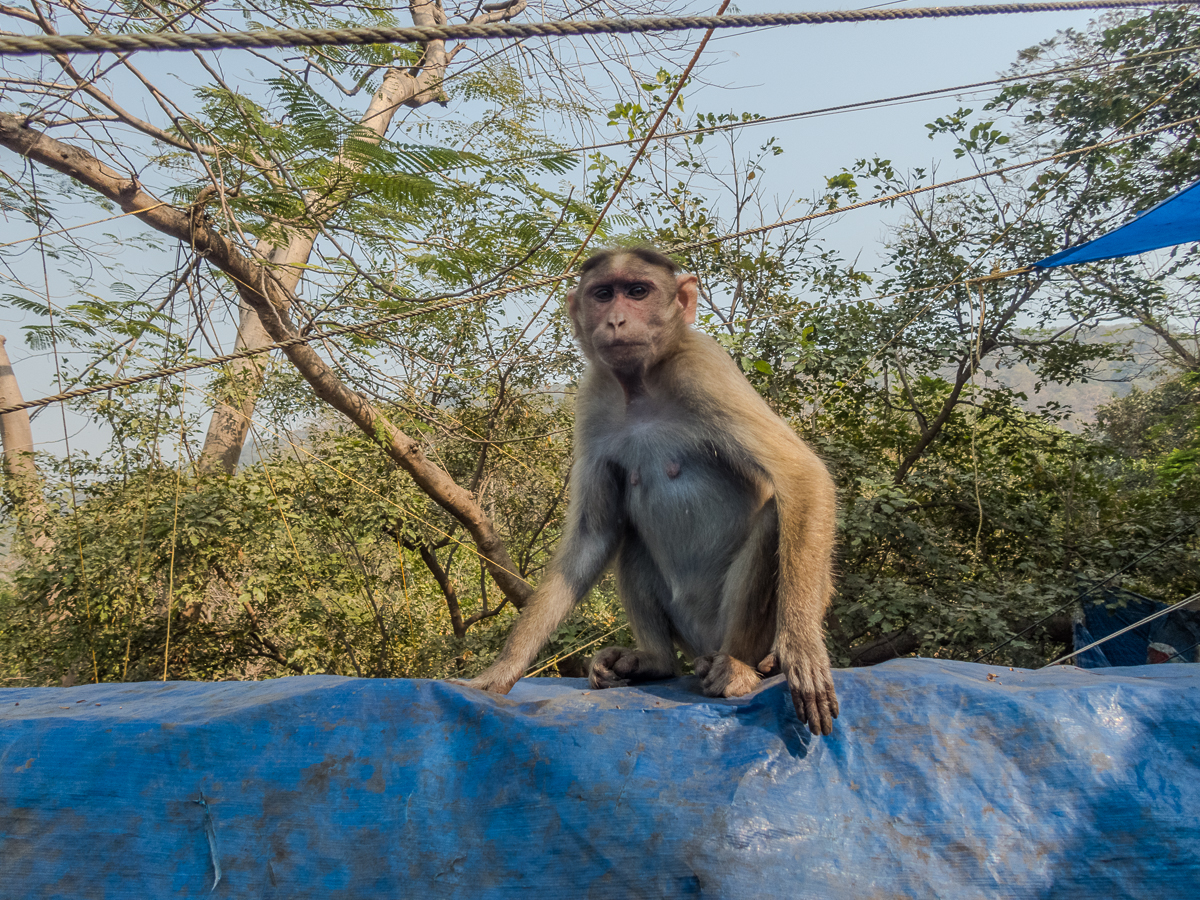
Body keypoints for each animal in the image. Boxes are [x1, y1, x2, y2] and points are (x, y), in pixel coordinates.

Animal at [463, 244, 840, 734]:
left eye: (638, 291)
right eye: (604, 294)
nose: (617, 321)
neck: (640, 384)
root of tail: (703, 649)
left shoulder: (702, 367)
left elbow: (799, 475)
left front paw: (801, 650)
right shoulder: (594, 397)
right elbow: (596, 534)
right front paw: (503, 669)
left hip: (722, 630)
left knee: (775, 519)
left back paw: (739, 667)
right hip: (686, 633)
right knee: (630, 539)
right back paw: (657, 662)